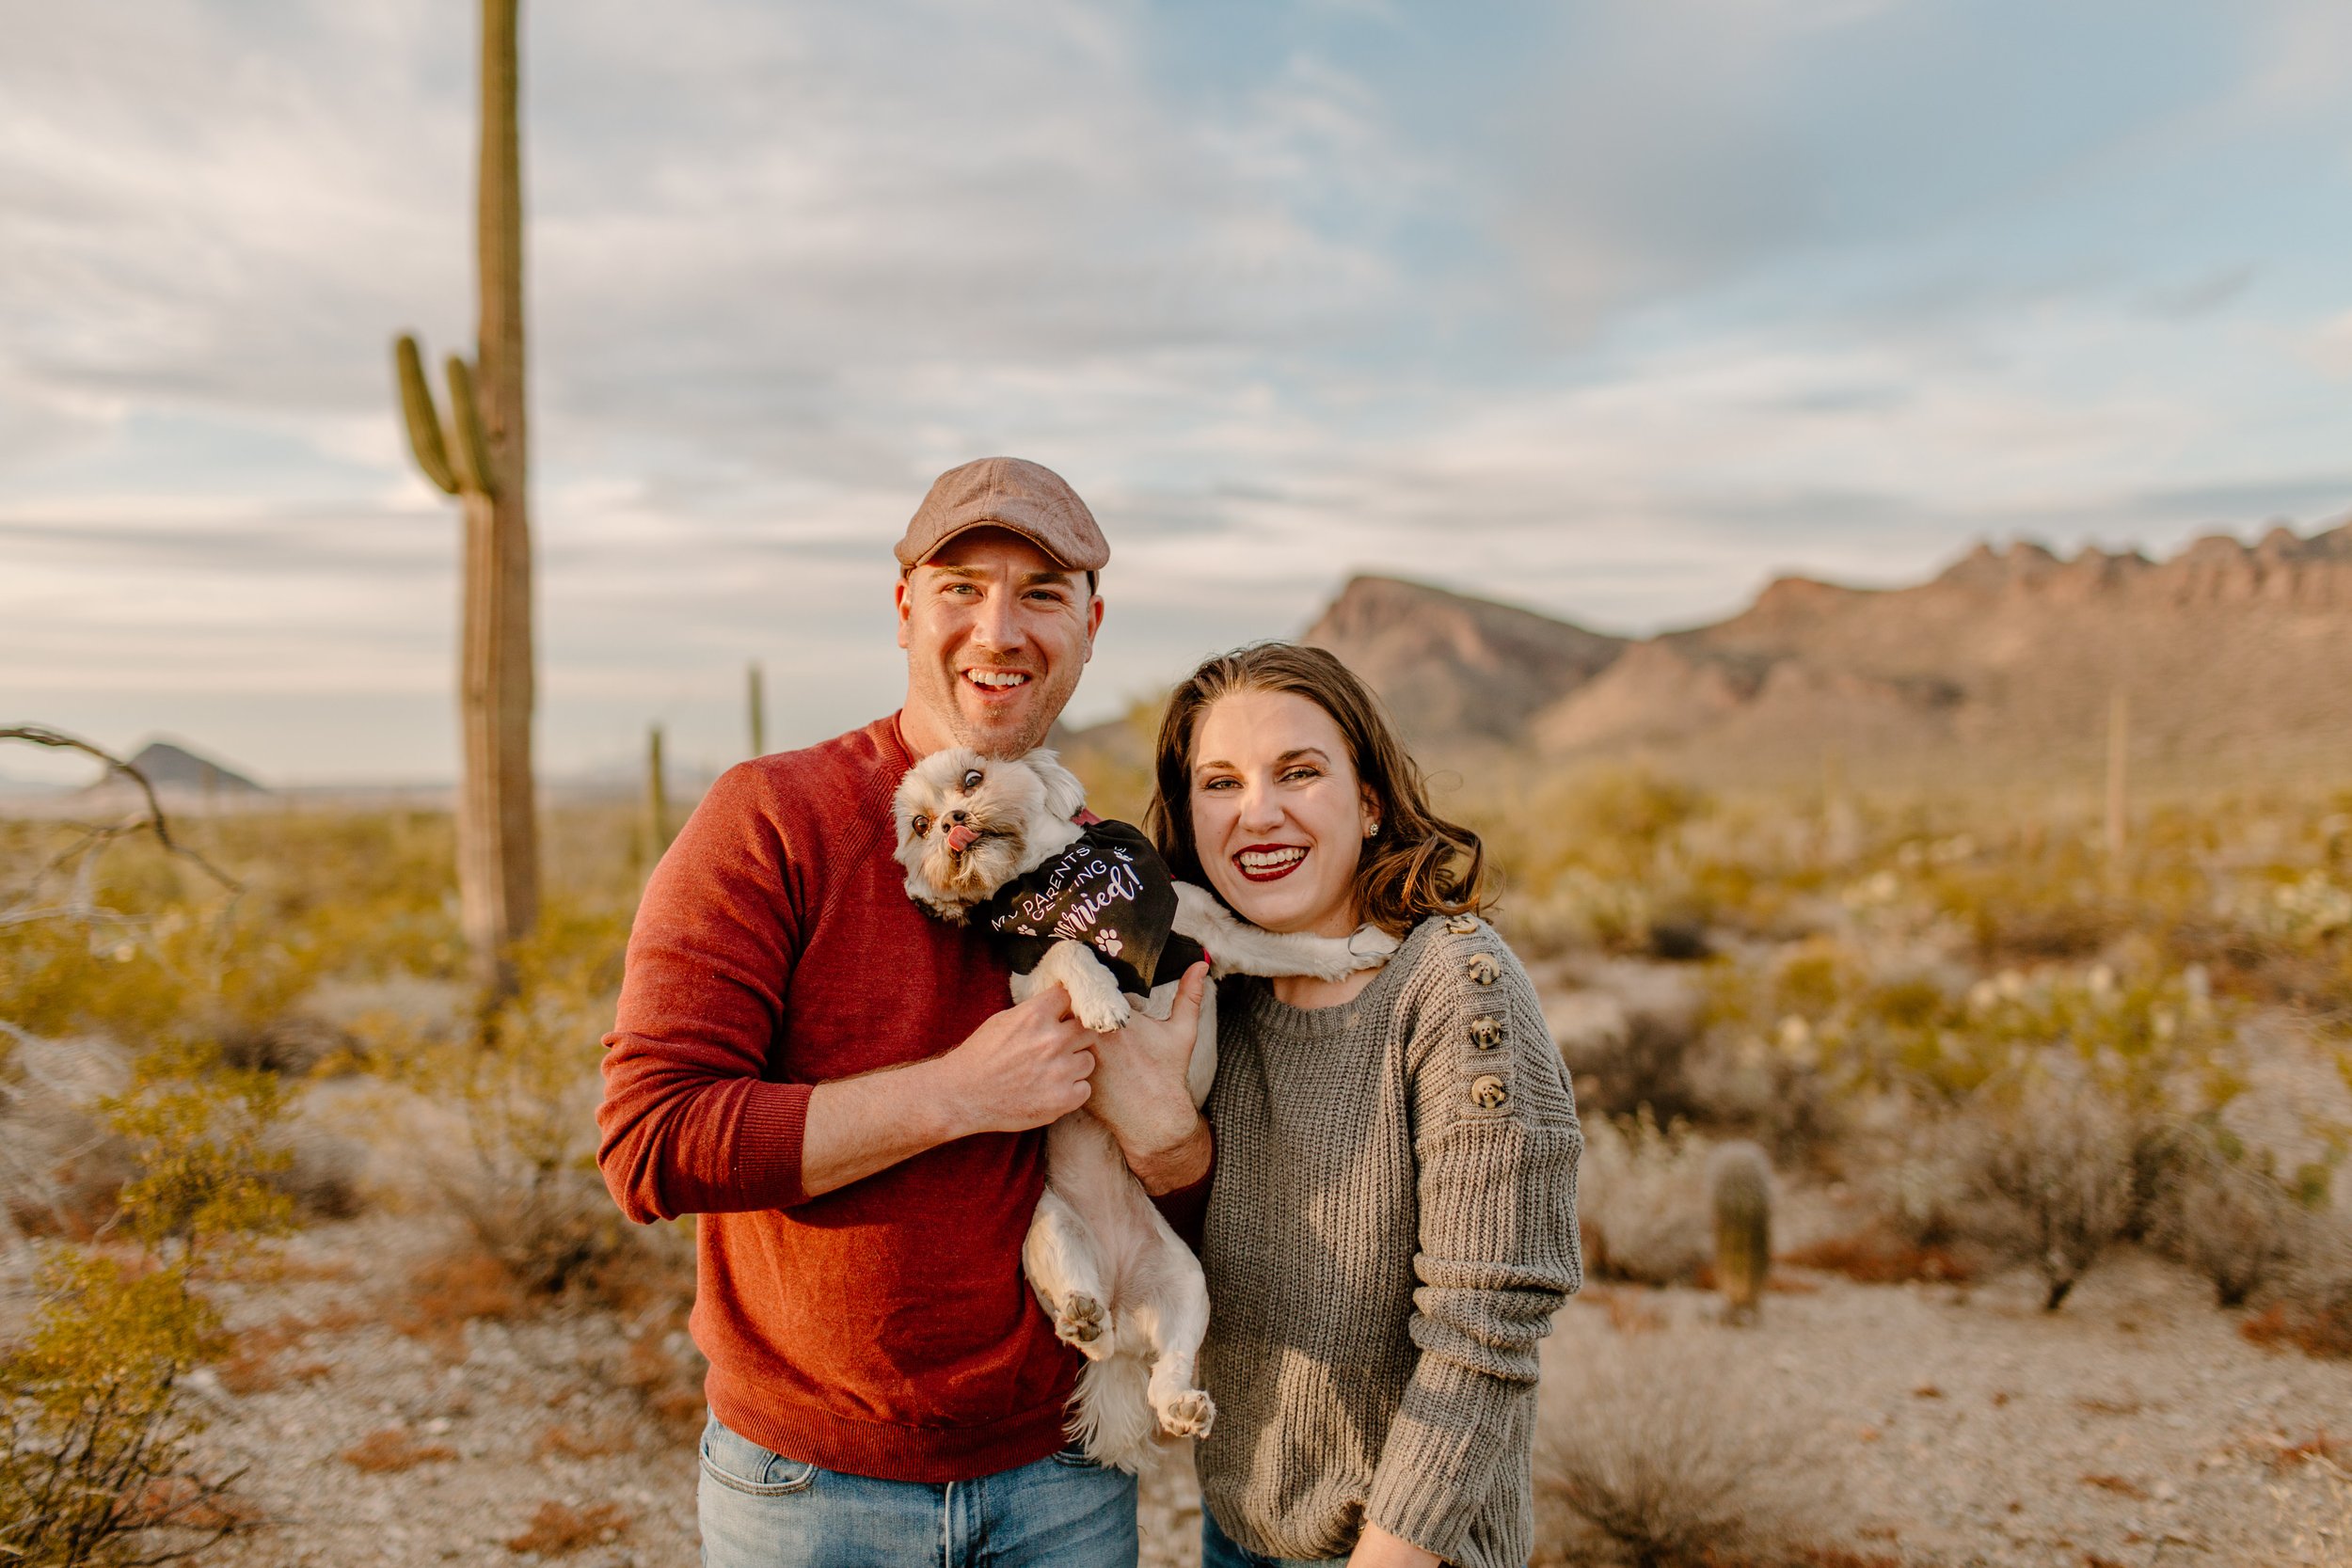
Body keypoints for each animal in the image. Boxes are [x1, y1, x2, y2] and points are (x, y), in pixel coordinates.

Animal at [889, 747, 1383, 1476]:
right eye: (919, 825)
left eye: (972, 778)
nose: (950, 821)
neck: (1058, 876)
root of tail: (1123, 1311)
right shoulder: (1030, 990)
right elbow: (1069, 948)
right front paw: (1101, 998)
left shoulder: (1215, 935)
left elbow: (1292, 947)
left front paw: (1357, 950)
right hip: (1050, 1235)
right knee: (1079, 1332)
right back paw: (1081, 1317)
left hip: (1188, 1286)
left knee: (1164, 1371)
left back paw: (1178, 1403)